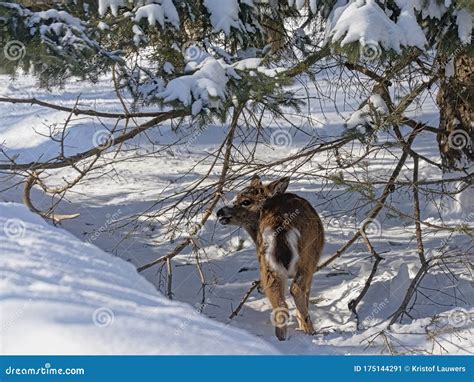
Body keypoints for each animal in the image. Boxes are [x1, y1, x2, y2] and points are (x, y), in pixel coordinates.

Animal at [217, 175, 324, 340]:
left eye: (245, 201)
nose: (219, 212)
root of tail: (280, 222)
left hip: (267, 262)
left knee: (280, 302)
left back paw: (281, 338)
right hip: (308, 256)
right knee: (296, 289)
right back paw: (310, 330)